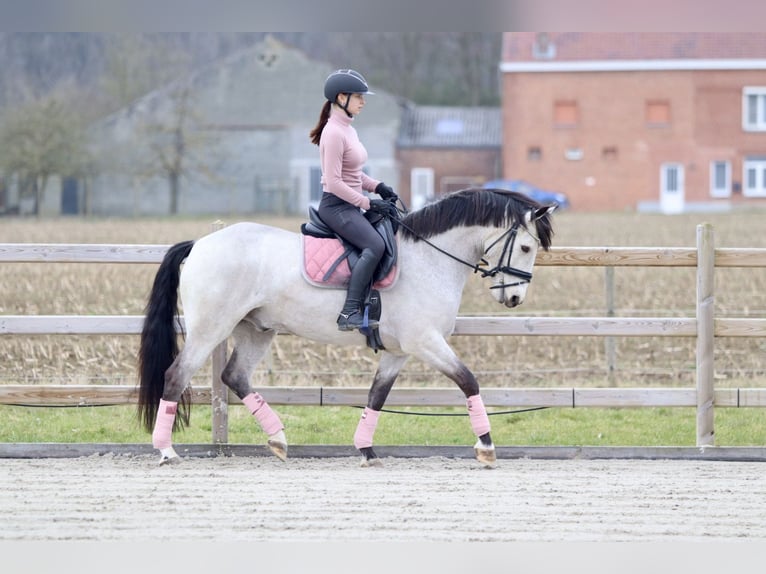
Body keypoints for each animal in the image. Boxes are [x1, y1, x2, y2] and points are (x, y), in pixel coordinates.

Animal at [140, 189, 560, 468]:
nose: (514, 298)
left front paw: (366, 449)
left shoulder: (398, 352)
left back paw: (278, 439)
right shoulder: (425, 342)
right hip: (211, 328)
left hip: (256, 329)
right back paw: (166, 450)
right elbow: (469, 381)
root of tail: (200, 244)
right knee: (176, 376)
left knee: (235, 376)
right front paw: (486, 447)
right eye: (526, 248)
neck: (428, 258)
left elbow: (377, 396)